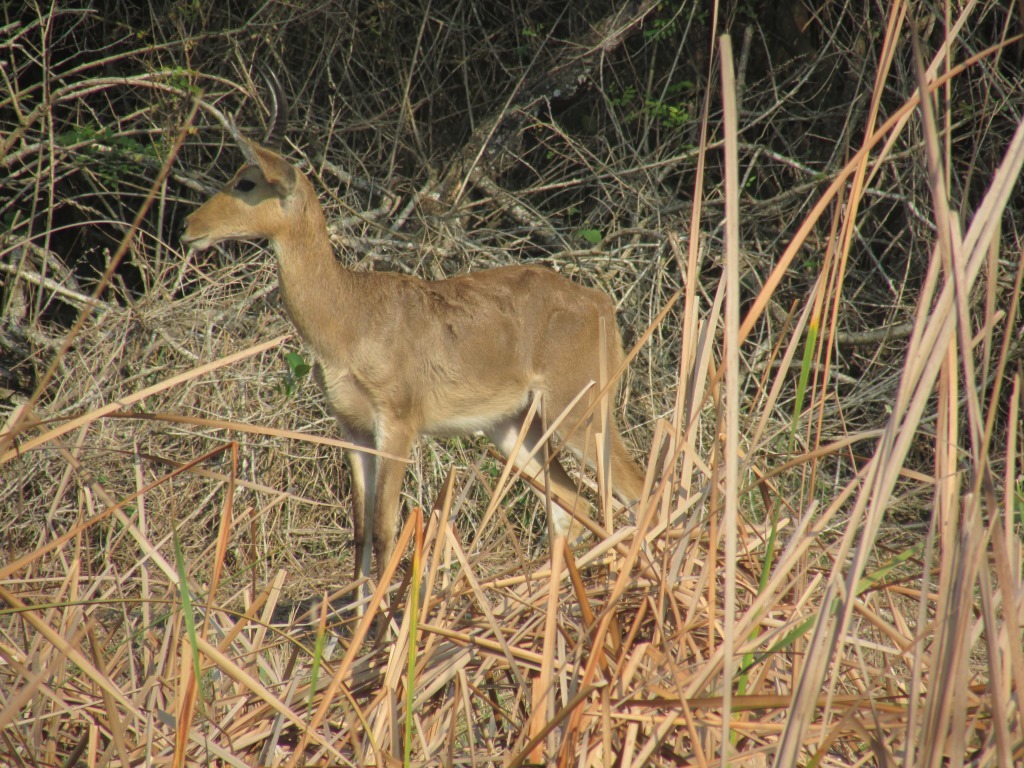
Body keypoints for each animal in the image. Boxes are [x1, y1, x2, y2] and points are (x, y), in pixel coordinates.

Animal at [182, 75, 647, 593]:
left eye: (246, 181)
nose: (188, 226)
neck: (350, 314)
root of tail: (602, 304)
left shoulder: (398, 423)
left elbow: (387, 530)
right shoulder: (353, 428)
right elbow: (360, 532)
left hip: (581, 412)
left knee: (636, 489)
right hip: (514, 428)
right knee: (574, 502)